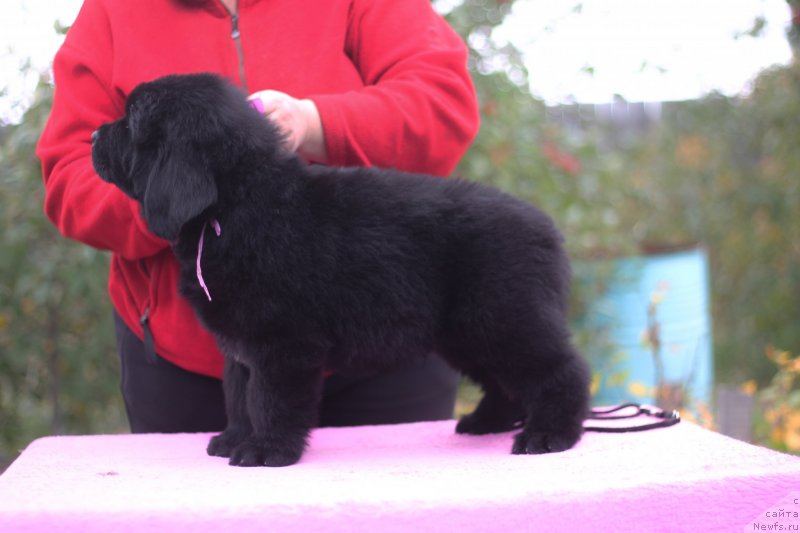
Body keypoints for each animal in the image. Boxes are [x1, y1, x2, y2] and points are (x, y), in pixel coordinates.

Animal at [90, 74, 592, 466]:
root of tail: (549, 229)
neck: (235, 205)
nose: (93, 136)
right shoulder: (240, 347)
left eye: (131, 122)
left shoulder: (283, 344)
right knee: (506, 381)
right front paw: (234, 439)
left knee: (562, 370)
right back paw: (485, 422)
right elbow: (238, 396)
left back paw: (549, 435)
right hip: (467, 332)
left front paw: (265, 450)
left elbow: (269, 399)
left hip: (502, 317)